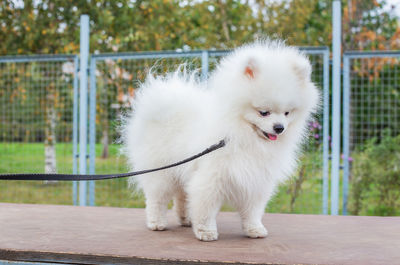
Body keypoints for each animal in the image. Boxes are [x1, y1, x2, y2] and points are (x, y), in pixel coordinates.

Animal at [121, 40, 318, 240]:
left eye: (287, 113)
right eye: (263, 112)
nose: (279, 128)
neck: (241, 134)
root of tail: (161, 102)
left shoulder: (257, 177)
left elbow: (253, 209)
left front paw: (254, 228)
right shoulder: (211, 175)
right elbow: (206, 206)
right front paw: (206, 231)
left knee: (182, 195)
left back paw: (186, 219)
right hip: (161, 170)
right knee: (157, 198)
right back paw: (157, 222)